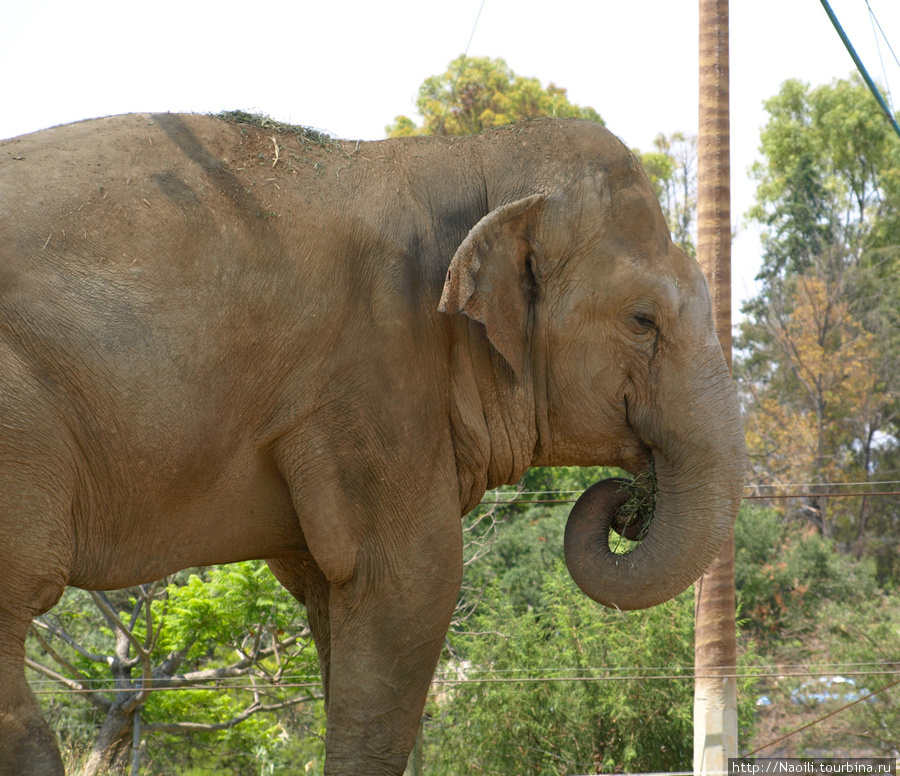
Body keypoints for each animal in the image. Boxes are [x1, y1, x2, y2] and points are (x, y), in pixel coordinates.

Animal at [0, 112, 744, 772]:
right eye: (643, 320)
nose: (628, 503)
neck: (460, 156)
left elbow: (333, 592)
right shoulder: (377, 374)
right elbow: (412, 580)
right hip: (19, 425)